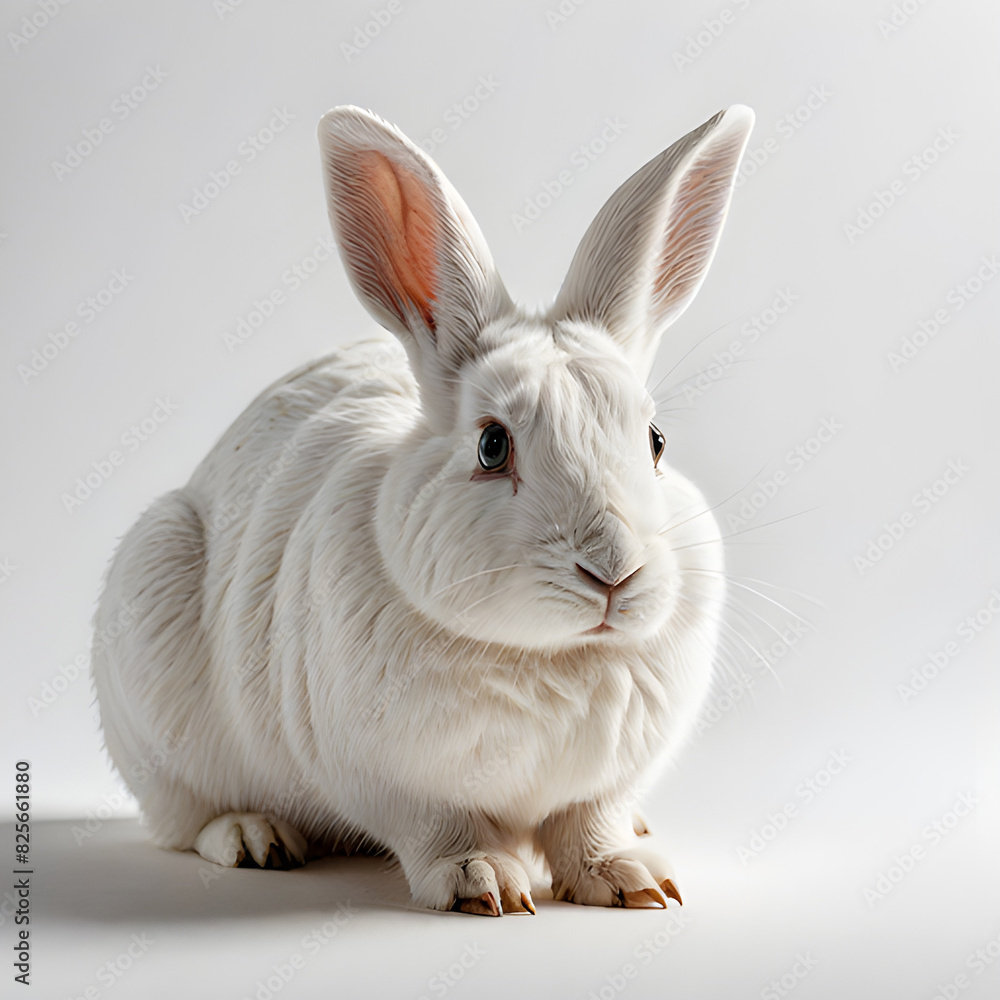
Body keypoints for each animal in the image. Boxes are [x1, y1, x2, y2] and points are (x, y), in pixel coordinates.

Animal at [91, 102, 753, 916]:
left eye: (656, 442)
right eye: (493, 445)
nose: (613, 571)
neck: (551, 655)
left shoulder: (601, 783)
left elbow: (589, 824)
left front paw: (632, 880)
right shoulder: (392, 782)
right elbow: (442, 828)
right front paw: (484, 883)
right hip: (155, 650)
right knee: (185, 818)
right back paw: (254, 837)